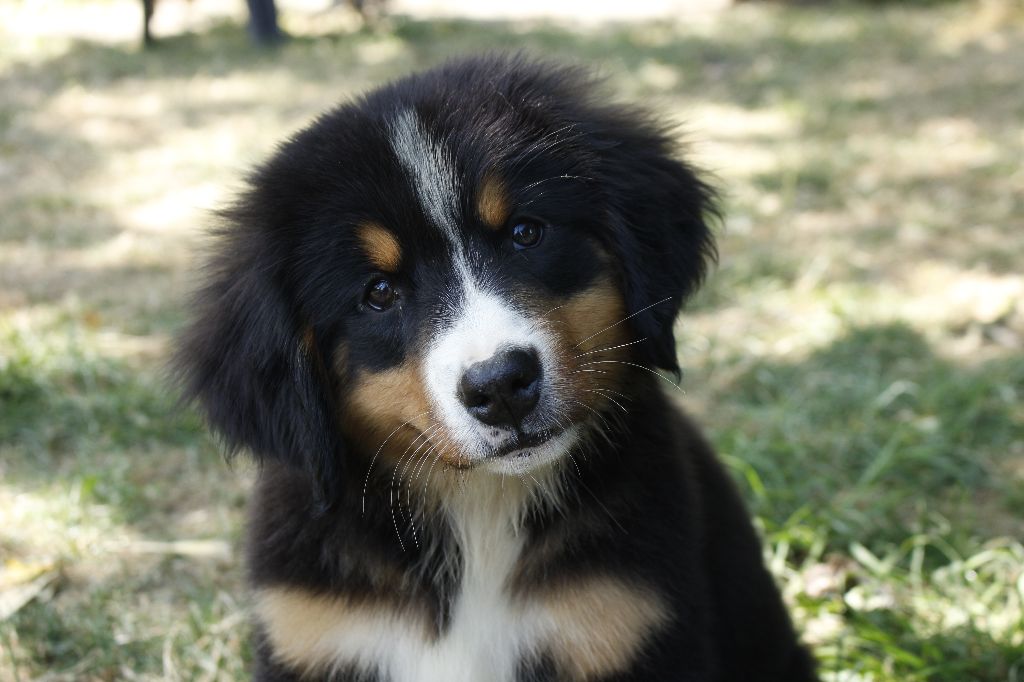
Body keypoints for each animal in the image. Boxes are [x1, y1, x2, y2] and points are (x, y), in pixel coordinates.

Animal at [174, 54, 815, 679]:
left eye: (525, 233)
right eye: (378, 292)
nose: (502, 386)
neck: (478, 510)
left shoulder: (625, 623)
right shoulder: (311, 630)